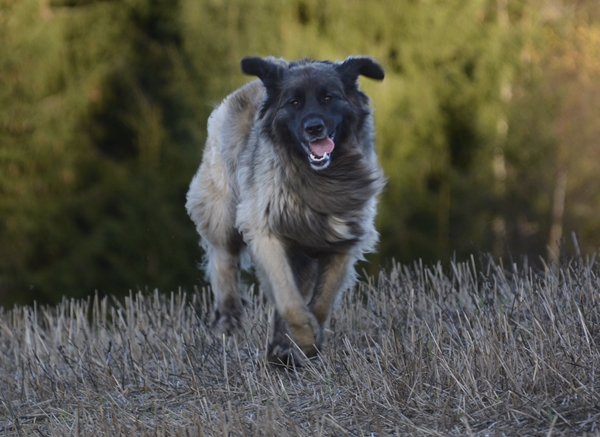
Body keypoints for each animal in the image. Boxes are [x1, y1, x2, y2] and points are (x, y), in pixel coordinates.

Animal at [185, 56, 386, 362]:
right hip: (223, 211)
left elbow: (321, 302)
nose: (314, 127)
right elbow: (289, 299)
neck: (316, 177)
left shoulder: (342, 243)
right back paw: (229, 318)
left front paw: (298, 343)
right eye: (294, 103)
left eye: (329, 98)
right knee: (224, 259)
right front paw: (304, 340)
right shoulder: (266, 233)